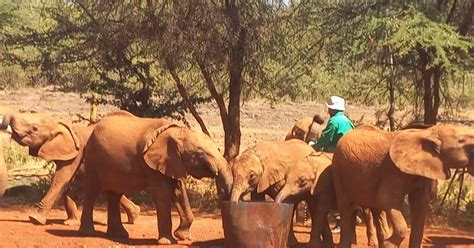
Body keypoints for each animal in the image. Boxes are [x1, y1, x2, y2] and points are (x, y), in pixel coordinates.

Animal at [0, 113, 143, 226]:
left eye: (34, 128)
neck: (57, 125)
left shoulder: (77, 152)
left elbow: (61, 179)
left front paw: (34, 219)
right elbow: (66, 183)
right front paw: (71, 223)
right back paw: (134, 216)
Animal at [77, 111, 231, 245]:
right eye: (200, 154)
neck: (177, 132)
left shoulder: (172, 162)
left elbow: (178, 191)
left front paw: (183, 237)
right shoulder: (151, 163)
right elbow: (163, 193)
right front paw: (168, 242)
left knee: (114, 194)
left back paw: (119, 235)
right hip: (93, 159)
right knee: (92, 192)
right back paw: (88, 233)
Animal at [332, 125, 474, 247]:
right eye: (461, 140)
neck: (427, 132)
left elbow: (420, 205)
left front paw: (388, 244)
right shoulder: (392, 171)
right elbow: (387, 200)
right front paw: (389, 244)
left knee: (376, 211)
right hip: (339, 171)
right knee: (346, 208)